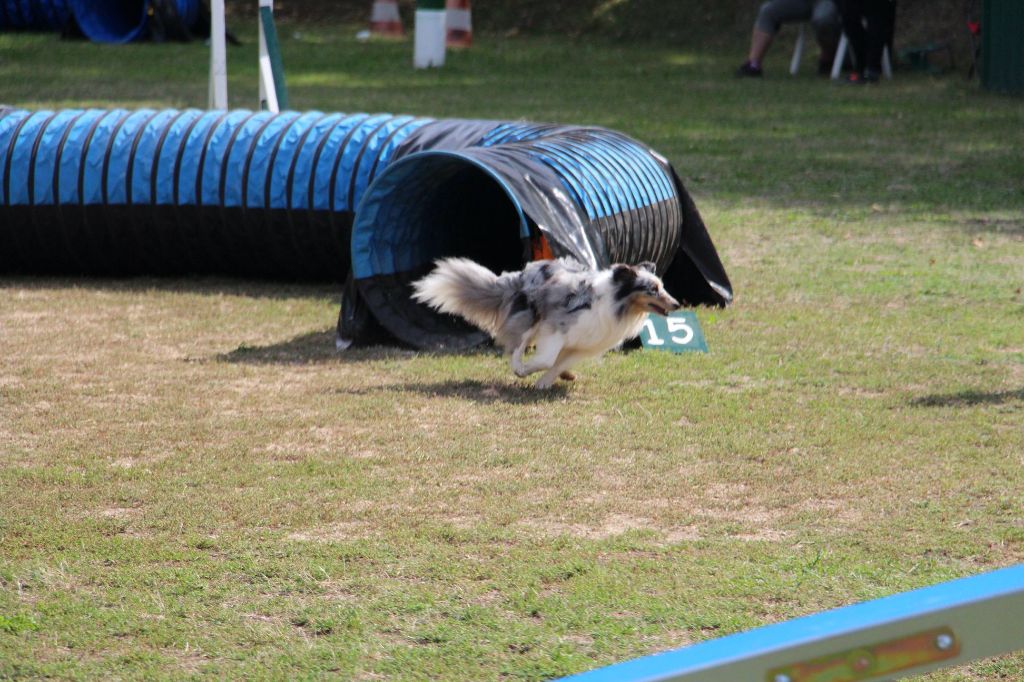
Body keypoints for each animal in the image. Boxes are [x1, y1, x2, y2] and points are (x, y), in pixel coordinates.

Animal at [407, 254, 679, 385]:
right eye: (652, 289)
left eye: (663, 286)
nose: (677, 304)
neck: (613, 302)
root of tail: (523, 272)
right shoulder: (557, 328)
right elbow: (547, 359)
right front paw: (526, 371)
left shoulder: (584, 344)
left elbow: (558, 363)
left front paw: (548, 382)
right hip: (531, 316)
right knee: (517, 343)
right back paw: (518, 365)